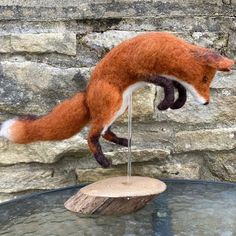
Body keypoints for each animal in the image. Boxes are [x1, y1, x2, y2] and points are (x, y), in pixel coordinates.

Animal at [0, 32, 233, 168]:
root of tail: (86, 92)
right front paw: (166, 102)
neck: (167, 50)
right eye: (204, 80)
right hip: (112, 104)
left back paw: (124, 142)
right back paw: (103, 161)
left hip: (121, 107)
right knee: (91, 135)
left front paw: (177, 102)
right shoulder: (142, 70)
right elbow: (167, 84)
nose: (207, 102)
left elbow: (178, 86)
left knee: (105, 132)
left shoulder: (163, 75)